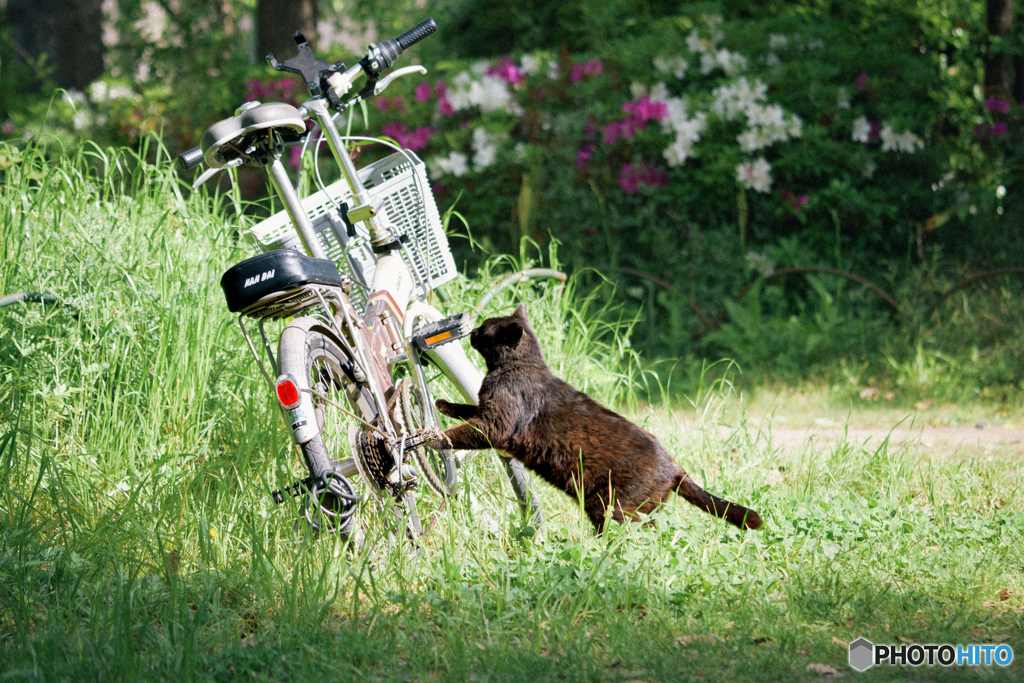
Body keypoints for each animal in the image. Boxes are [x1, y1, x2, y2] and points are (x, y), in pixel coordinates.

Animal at [430, 305, 761, 532]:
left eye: (486, 329)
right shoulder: (486, 411)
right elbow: (468, 409)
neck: (518, 366)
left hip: (610, 505)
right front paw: (443, 404)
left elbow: (461, 432)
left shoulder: (496, 424)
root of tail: (675, 468)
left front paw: (430, 437)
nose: (471, 331)